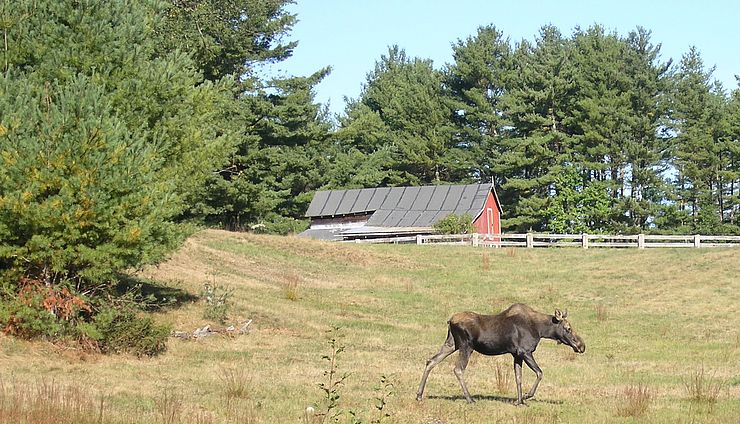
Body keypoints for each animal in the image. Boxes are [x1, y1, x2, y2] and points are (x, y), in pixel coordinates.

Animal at [416, 303, 586, 405]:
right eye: (568, 328)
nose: (581, 346)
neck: (541, 330)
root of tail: (450, 321)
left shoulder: (516, 355)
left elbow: (518, 378)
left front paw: (519, 401)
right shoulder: (525, 351)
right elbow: (540, 373)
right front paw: (526, 396)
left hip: (451, 344)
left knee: (431, 361)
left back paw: (419, 395)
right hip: (466, 346)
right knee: (458, 369)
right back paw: (470, 399)